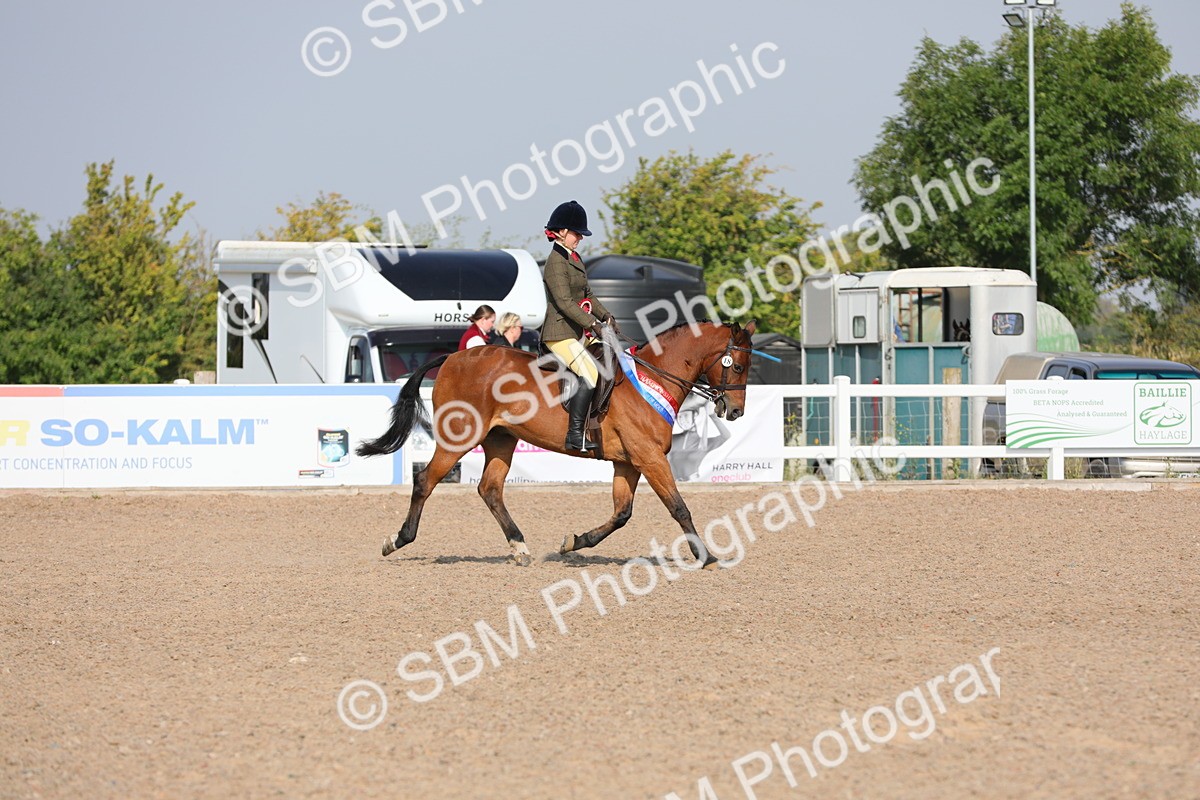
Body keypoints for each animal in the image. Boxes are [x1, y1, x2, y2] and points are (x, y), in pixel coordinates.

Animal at [356, 320, 757, 568]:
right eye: (737, 366)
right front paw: (706, 557)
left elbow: (622, 514)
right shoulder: (650, 458)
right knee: (426, 481)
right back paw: (398, 540)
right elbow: (679, 508)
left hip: (501, 439)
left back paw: (520, 548)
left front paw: (574, 542)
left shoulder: (628, 462)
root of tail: (453, 357)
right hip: (460, 437)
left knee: (490, 489)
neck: (650, 379)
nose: (736, 411)